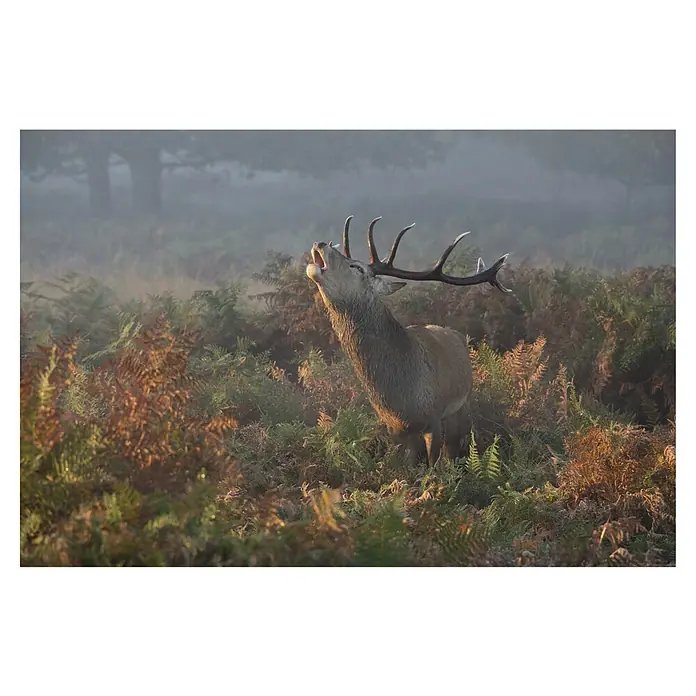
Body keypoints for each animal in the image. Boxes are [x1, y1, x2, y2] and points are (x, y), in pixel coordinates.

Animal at [306, 216, 510, 467]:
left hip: (461, 406)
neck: (402, 396)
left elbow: (434, 466)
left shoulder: (434, 418)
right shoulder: (393, 429)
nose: (320, 243)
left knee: (453, 446)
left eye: (357, 267)